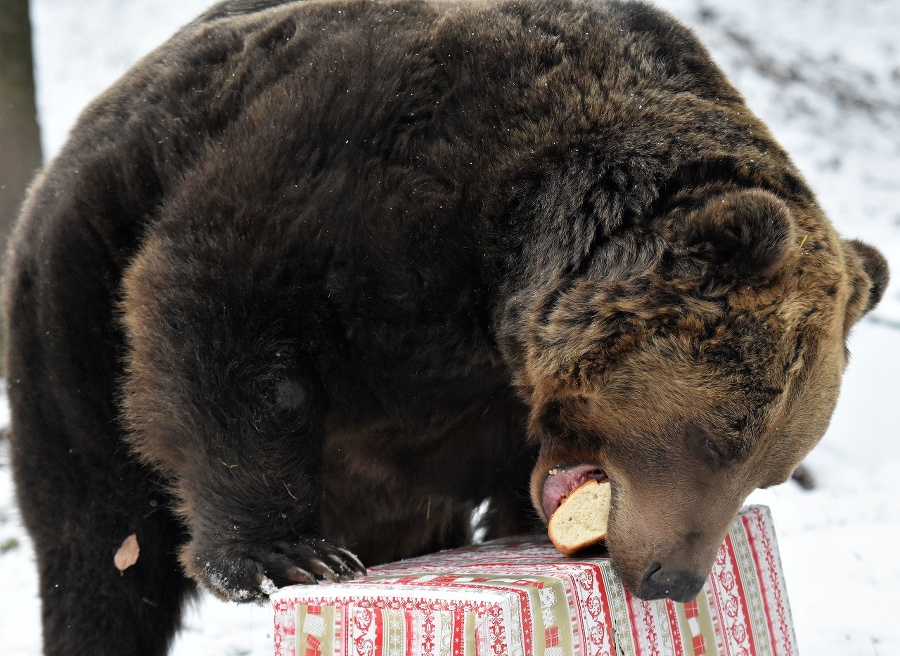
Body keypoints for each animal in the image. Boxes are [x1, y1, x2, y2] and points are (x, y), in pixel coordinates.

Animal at [0, 0, 884, 652]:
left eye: (771, 468)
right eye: (719, 438)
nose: (672, 578)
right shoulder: (353, 168)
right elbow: (223, 312)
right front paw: (286, 553)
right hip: (74, 305)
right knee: (101, 545)